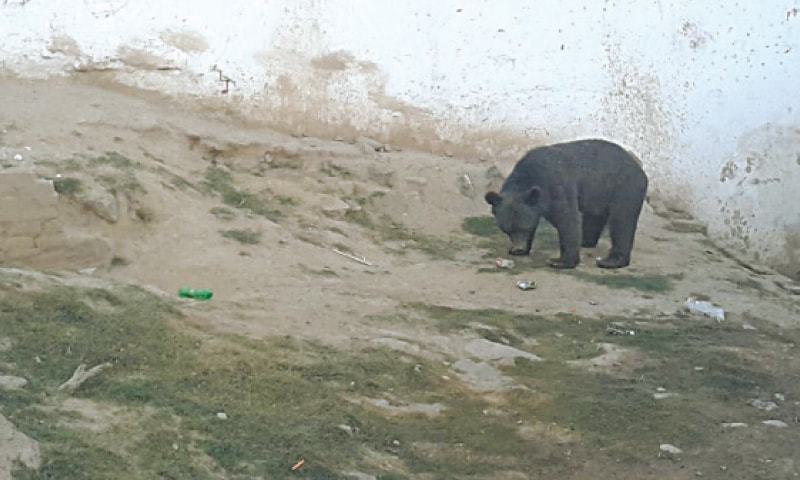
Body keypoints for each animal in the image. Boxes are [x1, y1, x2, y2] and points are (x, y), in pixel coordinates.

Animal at [484, 139, 648, 269]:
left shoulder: (556, 187)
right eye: (507, 230)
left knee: (622, 222)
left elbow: (567, 219)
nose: (518, 247)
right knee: (594, 217)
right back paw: (586, 240)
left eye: (523, 228)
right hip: (598, 194)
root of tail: (639, 168)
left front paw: (560, 261)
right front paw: (519, 250)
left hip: (623, 189)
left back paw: (611, 260)